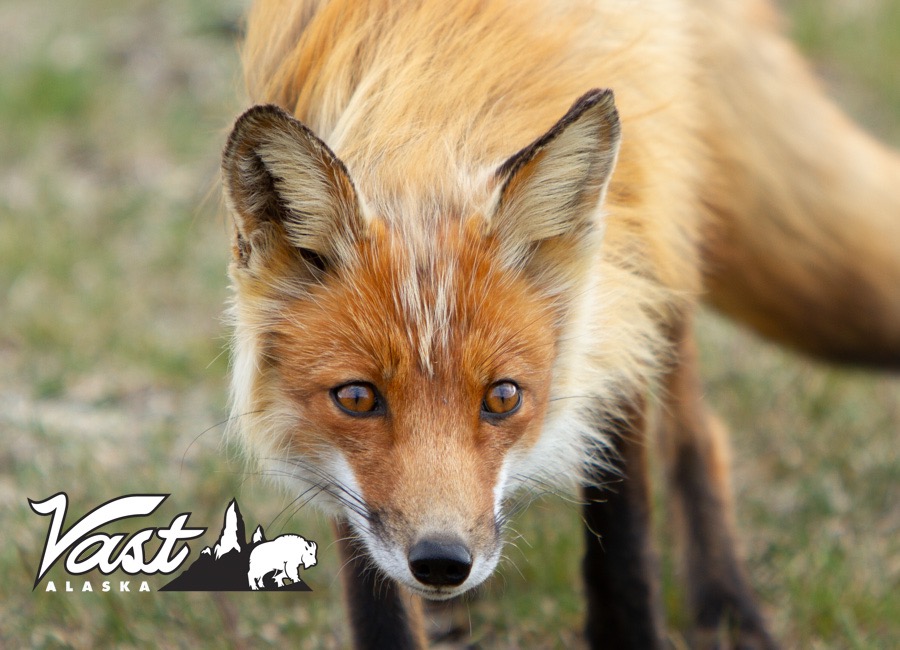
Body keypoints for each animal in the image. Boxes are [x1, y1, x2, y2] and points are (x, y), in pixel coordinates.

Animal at [220, 2, 900, 644]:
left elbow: (622, 537)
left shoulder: (625, 269)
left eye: (503, 397)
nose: (442, 563)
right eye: (357, 398)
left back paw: (726, 603)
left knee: (698, 430)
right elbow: (378, 601)